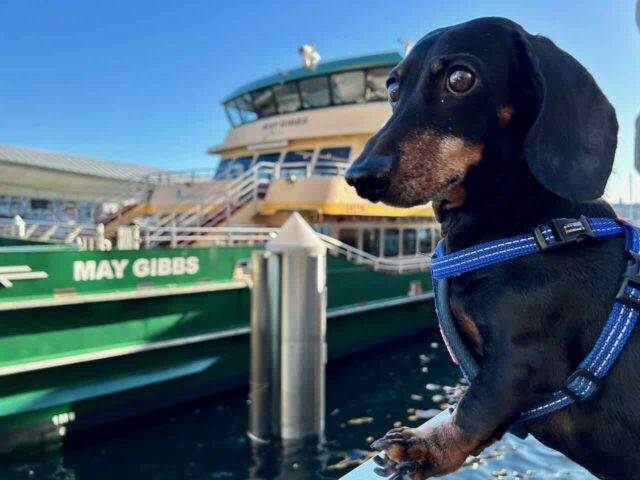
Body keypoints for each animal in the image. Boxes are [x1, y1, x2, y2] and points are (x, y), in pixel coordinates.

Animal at [348, 16, 636, 480]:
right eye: (392, 89)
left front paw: (427, 447)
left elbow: (474, 408)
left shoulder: (522, 360)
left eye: (460, 78)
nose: (359, 176)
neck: (528, 222)